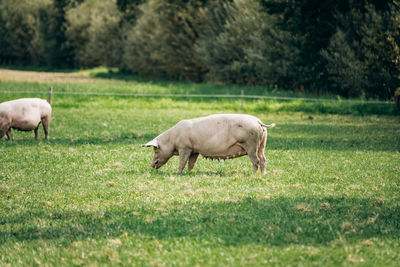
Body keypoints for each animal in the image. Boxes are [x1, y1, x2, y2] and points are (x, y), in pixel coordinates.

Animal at [142, 114, 276, 175]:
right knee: (263, 159)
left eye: (155, 150)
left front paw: (178, 173)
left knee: (256, 160)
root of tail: (258, 121)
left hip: (251, 144)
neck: (172, 139)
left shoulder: (185, 147)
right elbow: (191, 163)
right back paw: (263, 174)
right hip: (262, 144)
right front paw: (190, 172)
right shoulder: (194, 150)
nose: (151, 165)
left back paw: (254, 174)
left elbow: (182, 161)